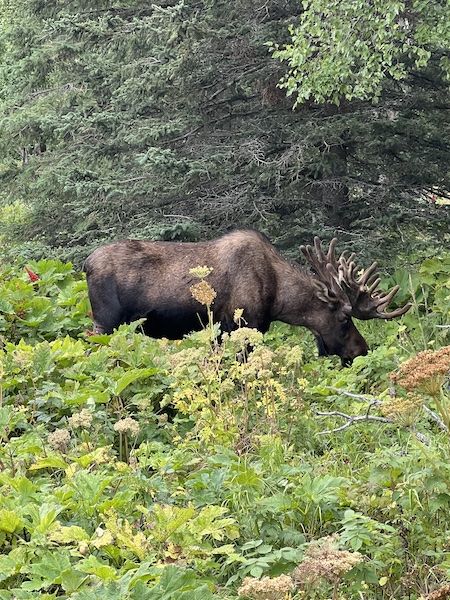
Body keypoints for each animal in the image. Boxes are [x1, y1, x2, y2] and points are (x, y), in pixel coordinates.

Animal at [83, 231, 412, 366]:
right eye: (344, 318)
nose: (362, 351)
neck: (279, 297)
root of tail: (86, 264)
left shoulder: (221, 332)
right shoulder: (243, 326)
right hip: (106, 323)